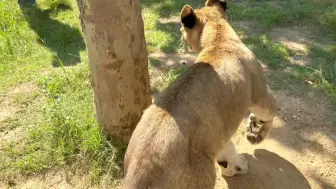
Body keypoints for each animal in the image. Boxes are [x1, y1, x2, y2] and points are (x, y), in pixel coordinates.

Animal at [122, 0, 276, 188]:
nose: (180, 35)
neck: (218, 39)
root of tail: (141, 173)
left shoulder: (219, 134)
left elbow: (227, 150)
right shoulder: (260, 94)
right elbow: (270, 112)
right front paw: (256, 133)